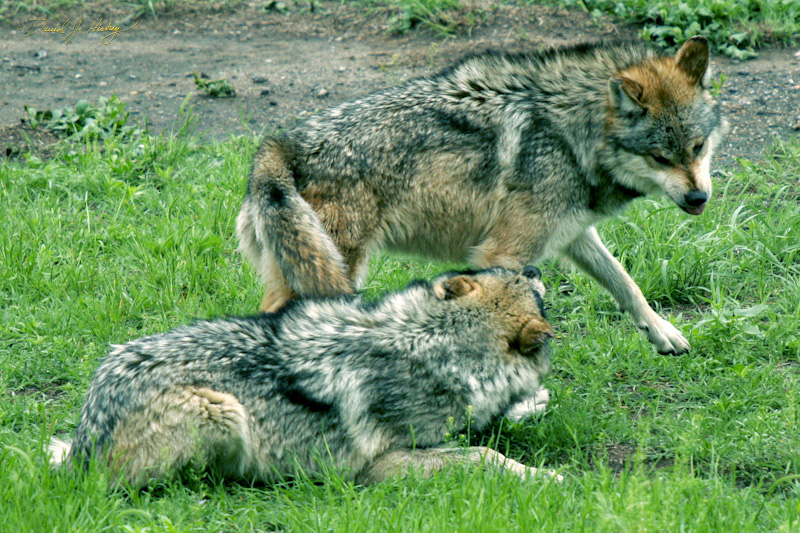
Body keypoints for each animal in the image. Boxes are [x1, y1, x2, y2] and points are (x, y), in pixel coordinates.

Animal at [49, 267, 561, 489]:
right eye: (537, 293)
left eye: (508, 271)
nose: (536, 266)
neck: (432, 341)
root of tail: (82, 448)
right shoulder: (381, 465)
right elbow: (484, 454)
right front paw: (549, 475)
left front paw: (533, 403)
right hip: (220, 408)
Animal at [236, 36, 727, 355]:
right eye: (661, 157)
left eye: (698, 147)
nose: (699, 199)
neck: (570, 135)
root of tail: (280, 145)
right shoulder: (502, 254)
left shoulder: (573, 233)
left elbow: (626, 283)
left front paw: (663, 333)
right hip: (333, 275)